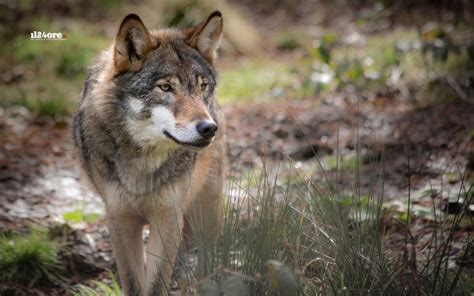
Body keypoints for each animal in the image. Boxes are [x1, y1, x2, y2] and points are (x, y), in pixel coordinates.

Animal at [73, 11, 227, 296]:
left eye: (202, 86)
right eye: (165, 88)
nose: (209, 128)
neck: (142, 165)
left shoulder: (167, 220)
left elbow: (156, 285)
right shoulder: (120, 220)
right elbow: (135, 283)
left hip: (207, 211)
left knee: (207, 261)